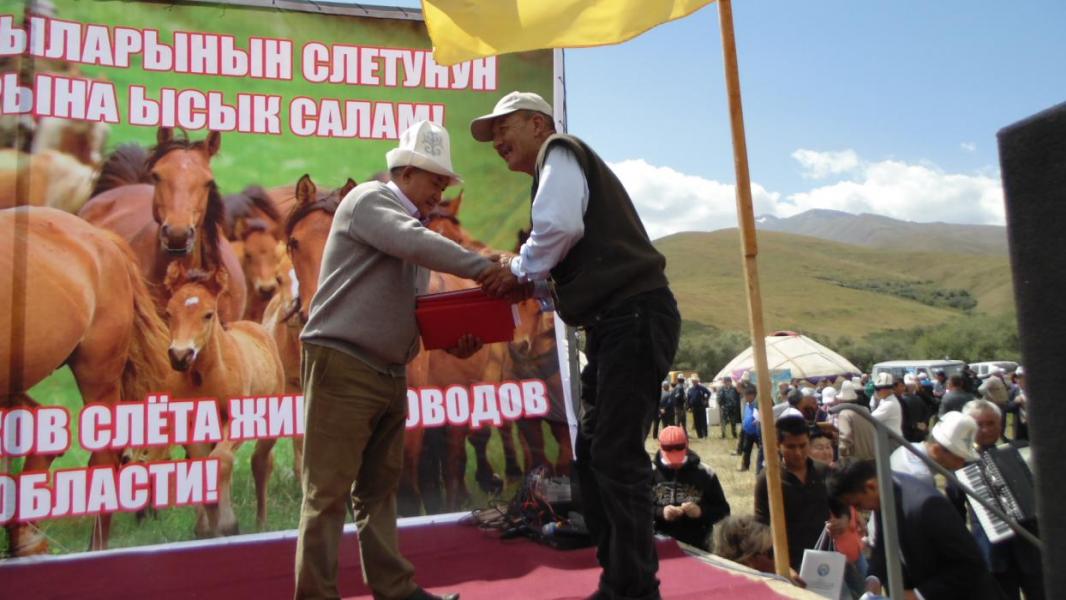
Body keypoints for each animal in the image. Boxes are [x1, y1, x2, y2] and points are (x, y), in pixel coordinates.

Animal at [163, 262, 285, 534]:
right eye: (169, 313)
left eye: (208, 314)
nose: (180, 356)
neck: (207, 377)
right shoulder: (193, 426)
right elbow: (205, 466)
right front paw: (208, 528)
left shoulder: (237, 422)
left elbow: (222, 459)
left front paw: (228, 523)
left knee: (261, 461)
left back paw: (261, 522)